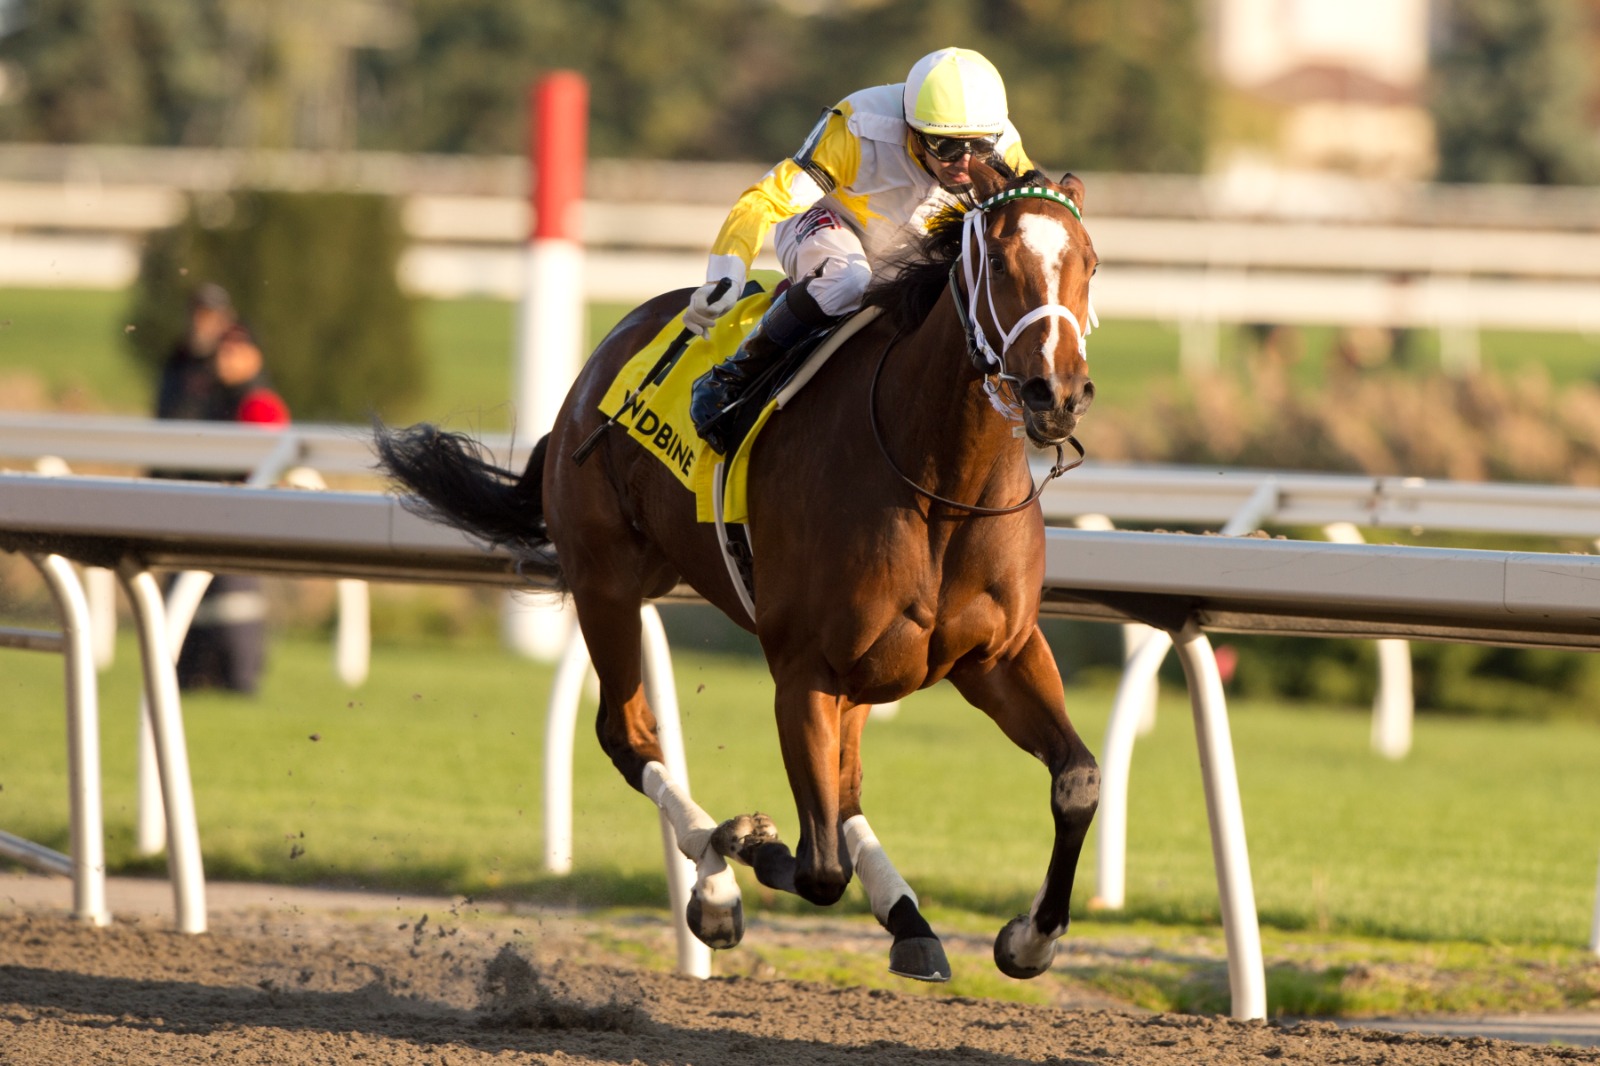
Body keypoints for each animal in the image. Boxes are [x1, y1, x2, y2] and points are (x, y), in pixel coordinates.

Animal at [376, 159, 1101, 983]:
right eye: (1002, 264)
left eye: (1090, 263)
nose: (1057, 393)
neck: (938, 484)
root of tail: (600, 359)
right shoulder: (804, 669)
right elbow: (817, 865)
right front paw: (745, 841)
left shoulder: (998, 655)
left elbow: (1077, 780)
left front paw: (1030, 938)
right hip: (606, 581)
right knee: (628, 733)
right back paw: (719, 883)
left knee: (845, 789)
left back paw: (907, 920)